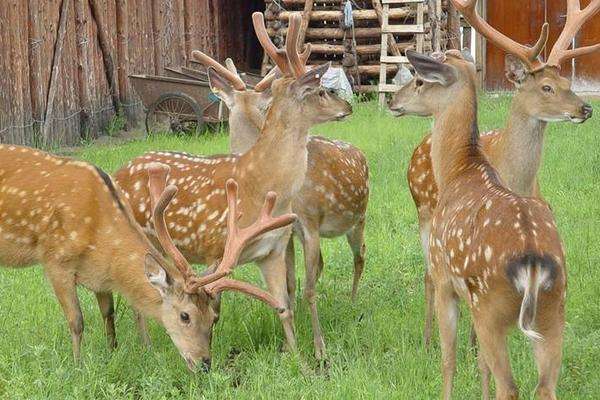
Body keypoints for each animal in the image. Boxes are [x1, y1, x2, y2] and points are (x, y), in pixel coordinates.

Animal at [0, 145, 292, 372]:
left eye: (213, 318)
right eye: (185, 316)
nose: (204, 364)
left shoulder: (98, 275)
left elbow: (108, 313)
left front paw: (113, 351)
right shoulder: (55, 260)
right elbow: (77, 321)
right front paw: (78, 366)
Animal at [112, 11, 352, 356]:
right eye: (320, 91)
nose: (348, 107)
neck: (261, 181)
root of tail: (117, 173)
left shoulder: (273, 249)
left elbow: (284, 306)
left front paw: (297, 357)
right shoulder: (216, 246)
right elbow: (213, 306)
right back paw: (146, 347)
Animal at [191, 15, 370, 360]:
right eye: (322, 91)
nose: (348, 106)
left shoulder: (308, 223)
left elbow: (308, 288)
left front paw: (319, 349)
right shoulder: (286, 233)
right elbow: (289, 286)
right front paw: (291, 343)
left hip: (358, 219)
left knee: (360, 256)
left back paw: (355, 302)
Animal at [390, 50, 568, 400]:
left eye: (419, 81)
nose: (393, 100)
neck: (459, 170)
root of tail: (533, 263)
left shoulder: (445, 280)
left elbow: (449, 360)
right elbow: (480, 364)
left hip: (491, 307)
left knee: (509, 387)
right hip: (554, 309)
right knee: (544, 387)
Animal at [396, 0, 596, 346]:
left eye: (567, 85)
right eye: (546, 87)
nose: (585, 109)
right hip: (423, 209)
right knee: (428, 275)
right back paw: (427, 338)